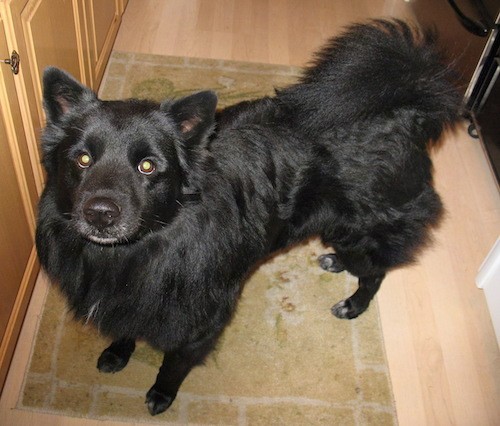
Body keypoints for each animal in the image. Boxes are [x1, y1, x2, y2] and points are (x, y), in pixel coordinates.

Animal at [36, 20, 460, 416]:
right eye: (82, 159)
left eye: (147, 166)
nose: (100, 213)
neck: (141, 251)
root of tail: (406, 106)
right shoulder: (129, 300)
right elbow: (126, 328)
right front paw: (117, 353)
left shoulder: (199, 324)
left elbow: (173, 365)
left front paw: (161, 395)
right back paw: (335, 262)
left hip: (364, 230)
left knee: (375, 273)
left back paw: (353, 305)